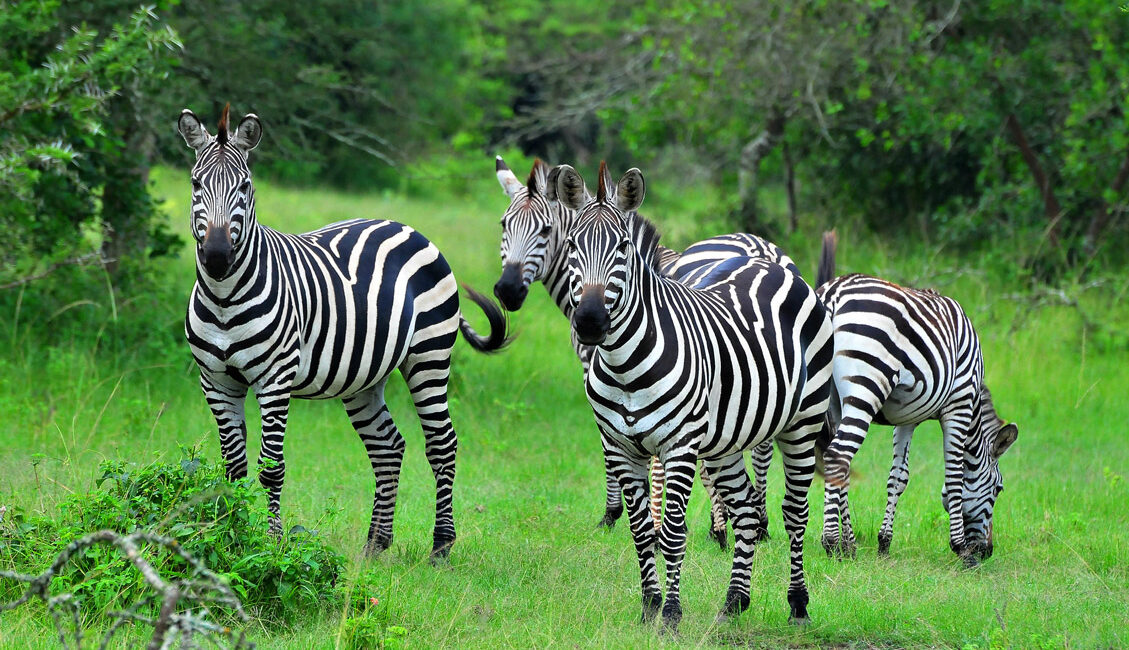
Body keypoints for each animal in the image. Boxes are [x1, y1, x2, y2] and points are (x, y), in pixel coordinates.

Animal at [176, 105, 510, 560]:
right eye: (196, 183)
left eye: (245, 186)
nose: (216, 256)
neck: (224, 297)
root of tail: (407, 227)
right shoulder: (215, 381)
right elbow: (233, 469)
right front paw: (230, 537)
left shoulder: (274, 380)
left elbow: (271, 468)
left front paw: (272, 545)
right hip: (365, 377)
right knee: (388, 447)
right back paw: (376, 543)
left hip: (429, 355)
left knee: (442, 444)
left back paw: (441, 545)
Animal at [492, 157, 794, 546]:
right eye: (504, 225)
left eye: (545, 231)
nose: (508, 291)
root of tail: (761, 250)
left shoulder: (603, 370)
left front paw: (616, 513)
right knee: (762, 444)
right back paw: (760, 521)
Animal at [554, 162, 833, 629]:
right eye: (573, 246)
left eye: (624, 248)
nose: (590, 322)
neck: (624, 366)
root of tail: (771, 263)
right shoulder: (620, 446)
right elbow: (641, 531)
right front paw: (649, 607)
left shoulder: (679, 446)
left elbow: (671, 532)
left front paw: (670, 613)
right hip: (726, 442)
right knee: (745, 511)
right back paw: (734, 601)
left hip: (802, 423)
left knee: (795, 513)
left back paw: (798, 604)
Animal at [815, 236, 1018, 564]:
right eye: (999, 489)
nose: (987, 551)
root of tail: (833, 294)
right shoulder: (959, 404)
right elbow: (954, 475)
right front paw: (961, 548)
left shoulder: (906, 418)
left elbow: (898, 477)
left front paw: (884, 542)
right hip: (866, 386)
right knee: (837, 456)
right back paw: (833, 542)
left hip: (830, 399)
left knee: (835, 460)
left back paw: (849, 544)